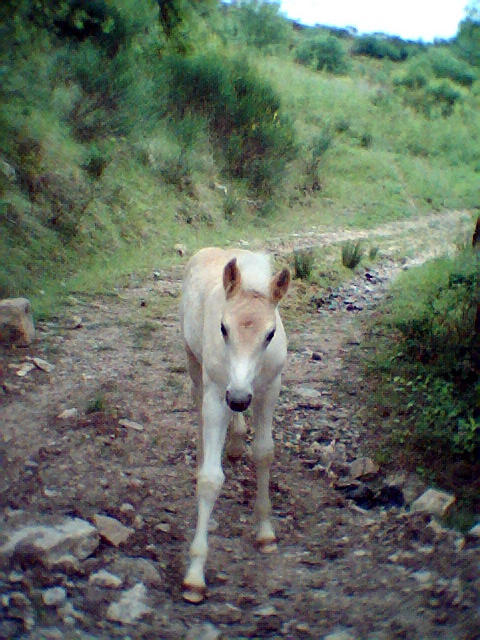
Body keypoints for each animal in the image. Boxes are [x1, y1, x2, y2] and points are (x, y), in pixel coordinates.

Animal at [179, 248, 288, 604]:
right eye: (223, 328)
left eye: (270, 334)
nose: (239, 398)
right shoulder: (218, 392)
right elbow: (211, 480)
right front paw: (195, 575)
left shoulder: (269, 389)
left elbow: (264, 453)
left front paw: (265, 531)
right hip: (195, 364)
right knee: (198, 405)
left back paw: (237, 441)